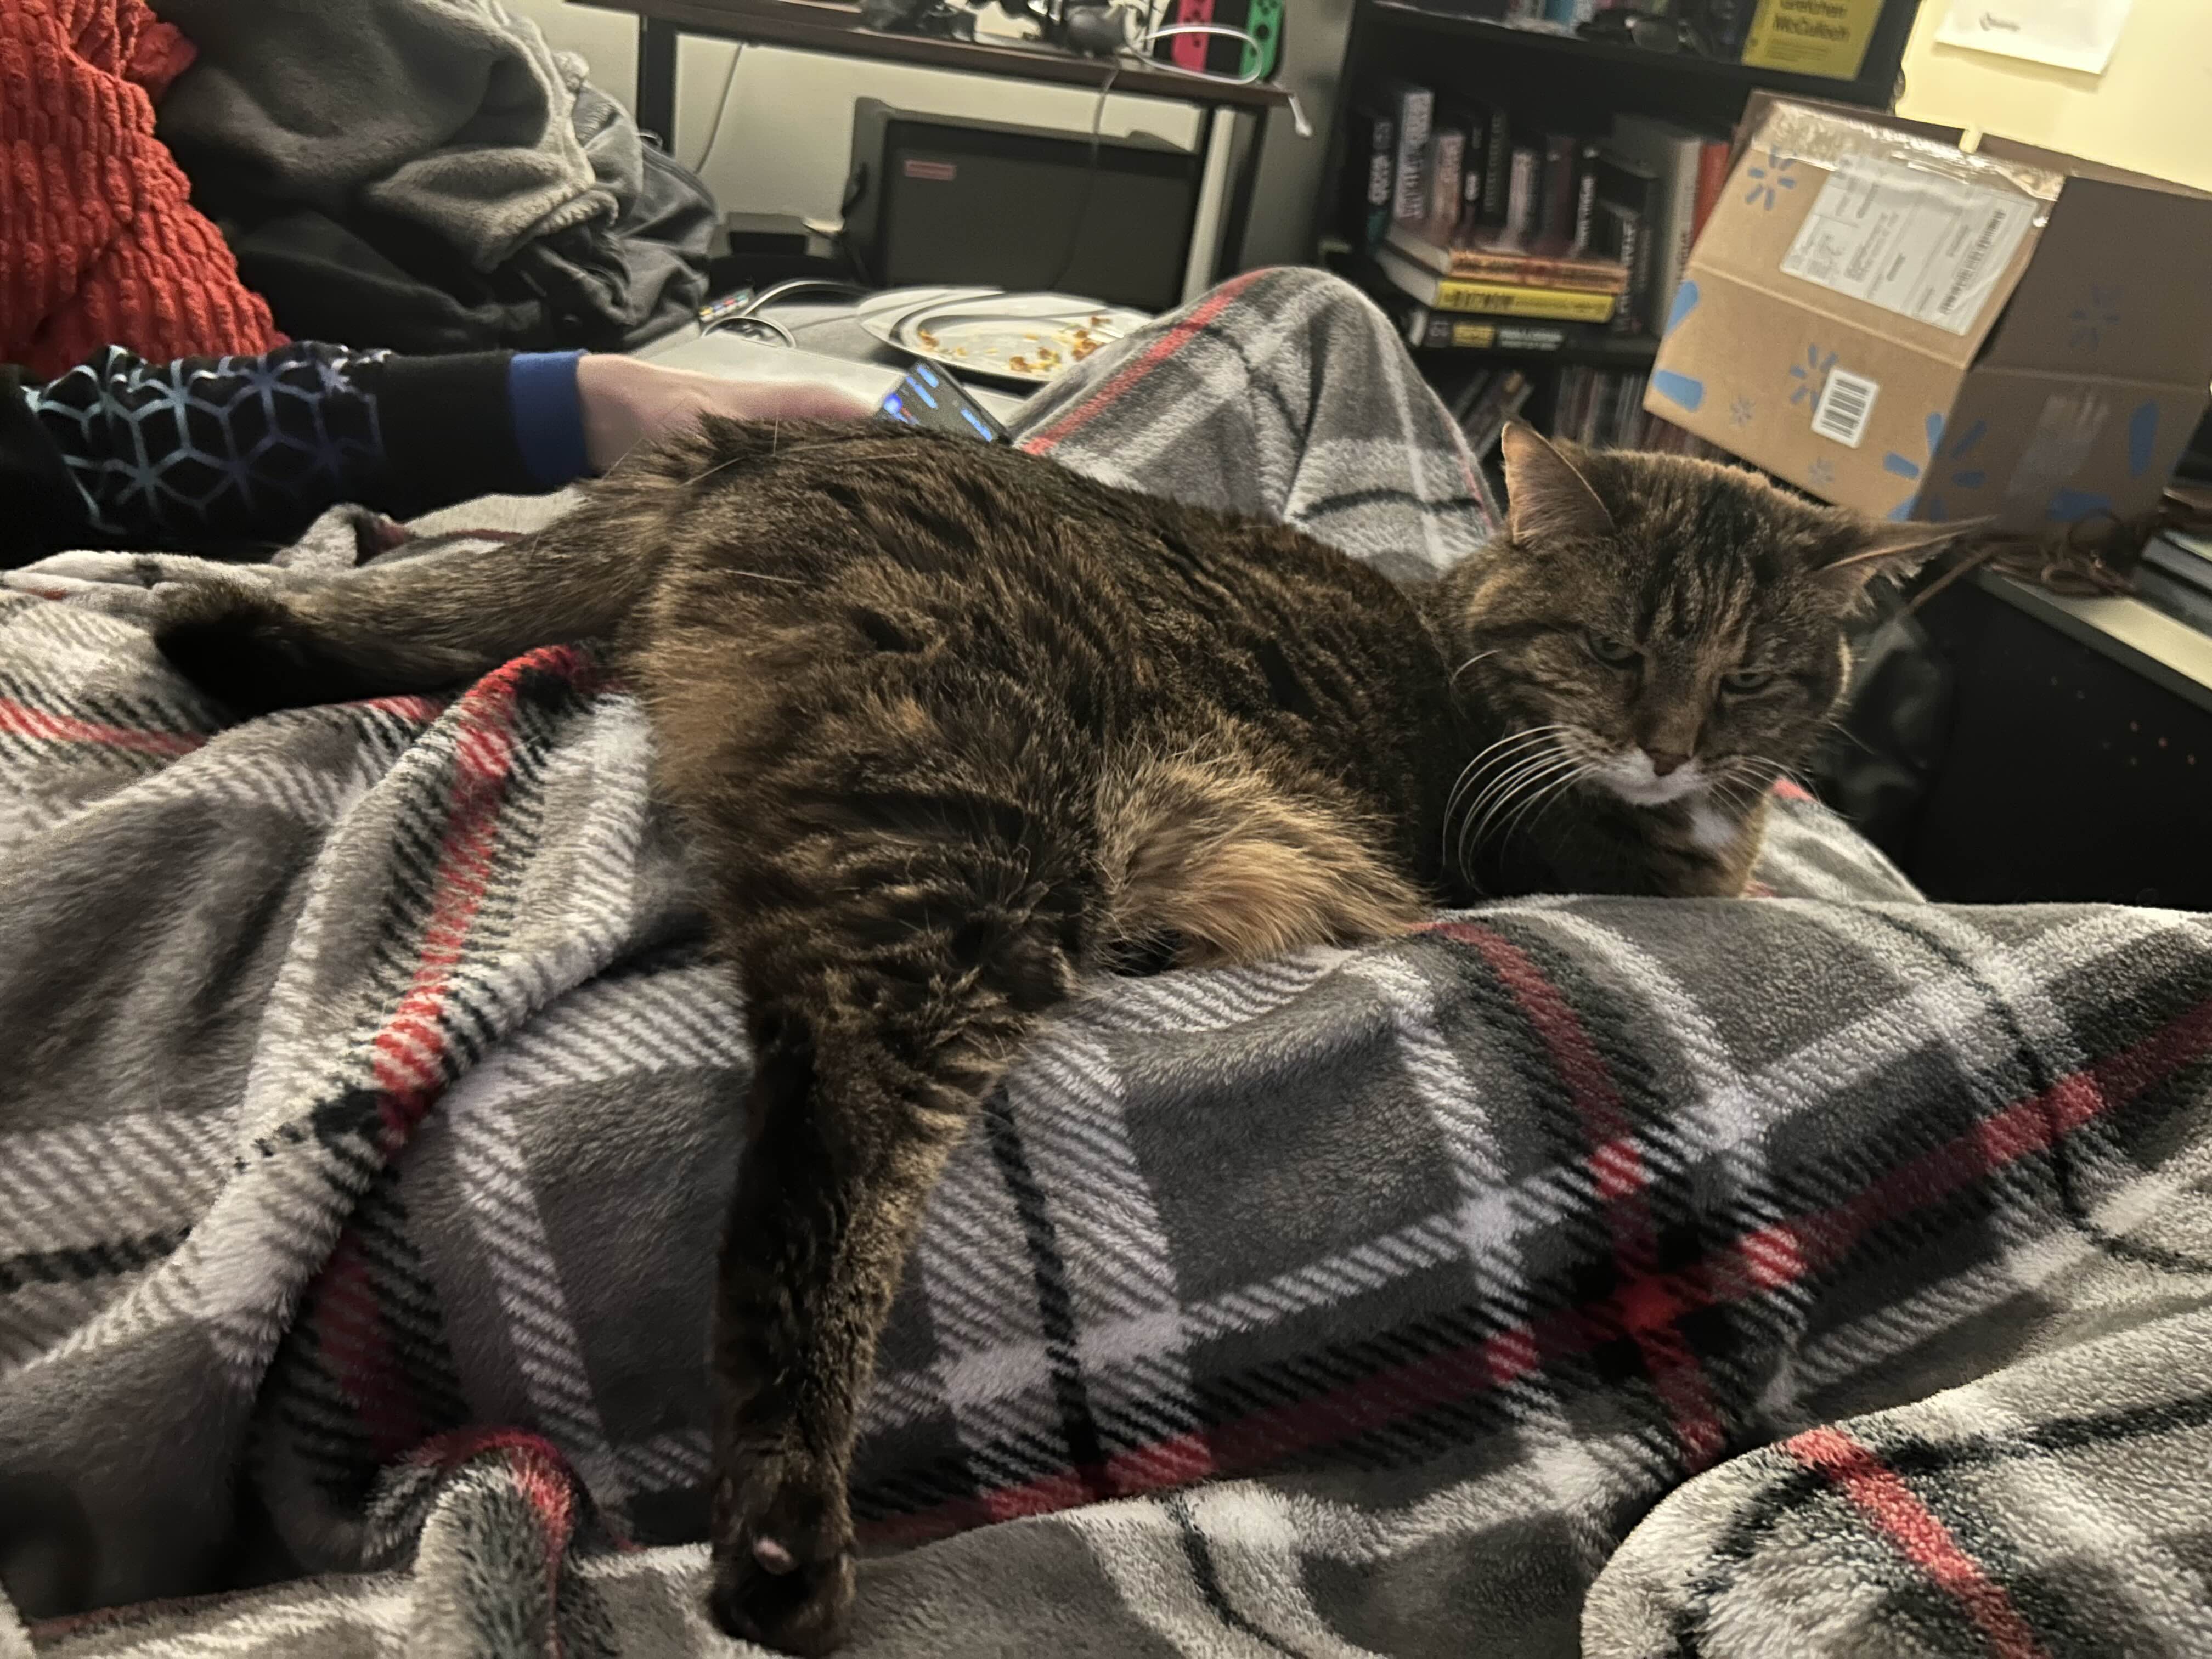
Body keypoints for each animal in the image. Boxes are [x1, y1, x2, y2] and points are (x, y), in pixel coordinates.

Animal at [151, 418, 1955, 1659]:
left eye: (1758, 675)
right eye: (1616, 648)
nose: (1671, 744)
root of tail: (770, 444)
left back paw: (222, 630)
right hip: (964, 843)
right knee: (823, 1159)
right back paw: (783, 1534)